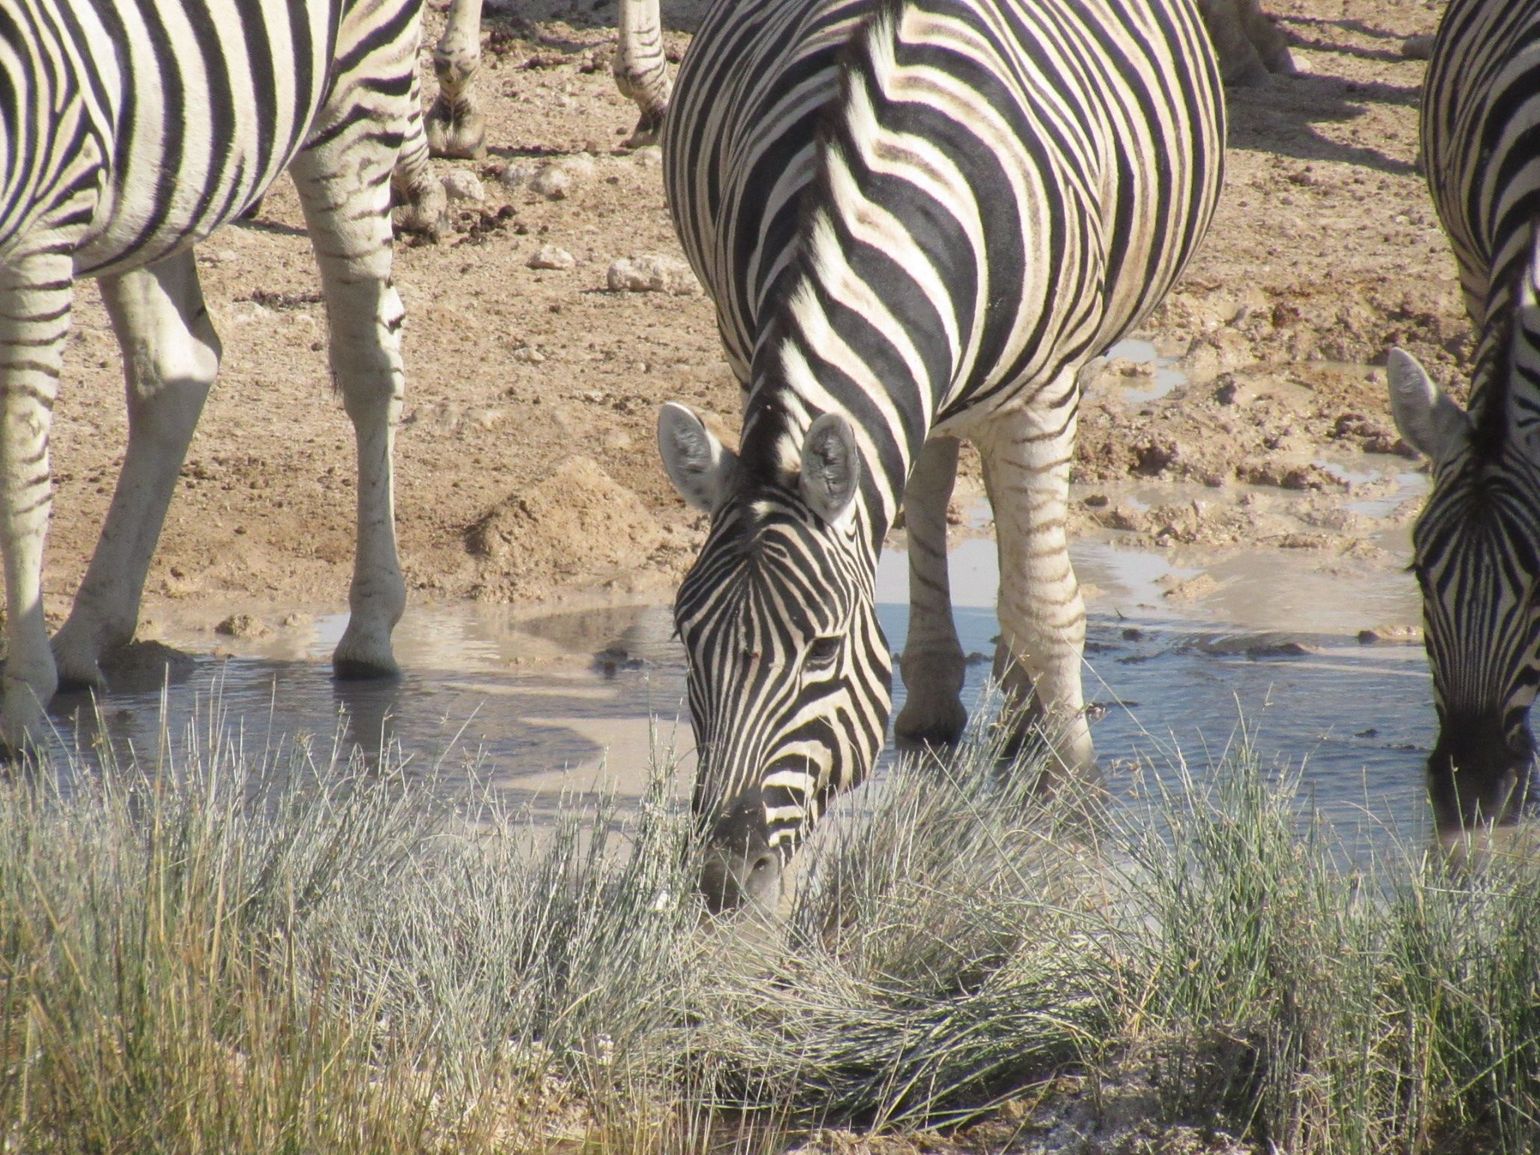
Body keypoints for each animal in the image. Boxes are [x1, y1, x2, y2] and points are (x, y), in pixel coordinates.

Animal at [0, 0, 422, 751]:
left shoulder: (39, 232)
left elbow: (19, 471)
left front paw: (18, 703)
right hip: (157, 167)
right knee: (178, 363)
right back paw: (86, 636)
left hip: (359, 91)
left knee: (370, 356)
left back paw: (370, 633)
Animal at [656, 0, 1225, 910]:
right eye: (684, 637)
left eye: (822, 650)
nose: (723, 876)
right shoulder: (751, 350)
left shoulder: (1040, 399)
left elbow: (1044, 605)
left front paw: (1070, 794)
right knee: (924, 478)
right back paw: (934, 695)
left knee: (1021, 551)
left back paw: (1028, 710)